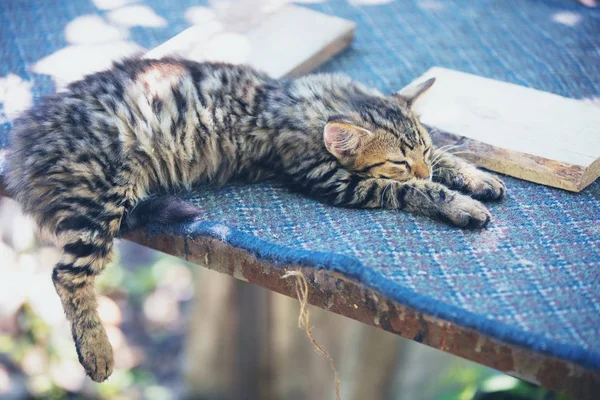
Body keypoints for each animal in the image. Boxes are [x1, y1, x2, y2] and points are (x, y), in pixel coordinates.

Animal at [4, 57, 504, 382]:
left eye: (419, 151)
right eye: (398, 163)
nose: (419, 167)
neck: (320, 104)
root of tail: (25, 146)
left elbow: (447, 159)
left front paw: (476, 178)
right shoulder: (332, 179)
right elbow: (414, 191)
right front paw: (460, 203)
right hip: (106, 193)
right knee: (67, 274)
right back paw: (97, 350)